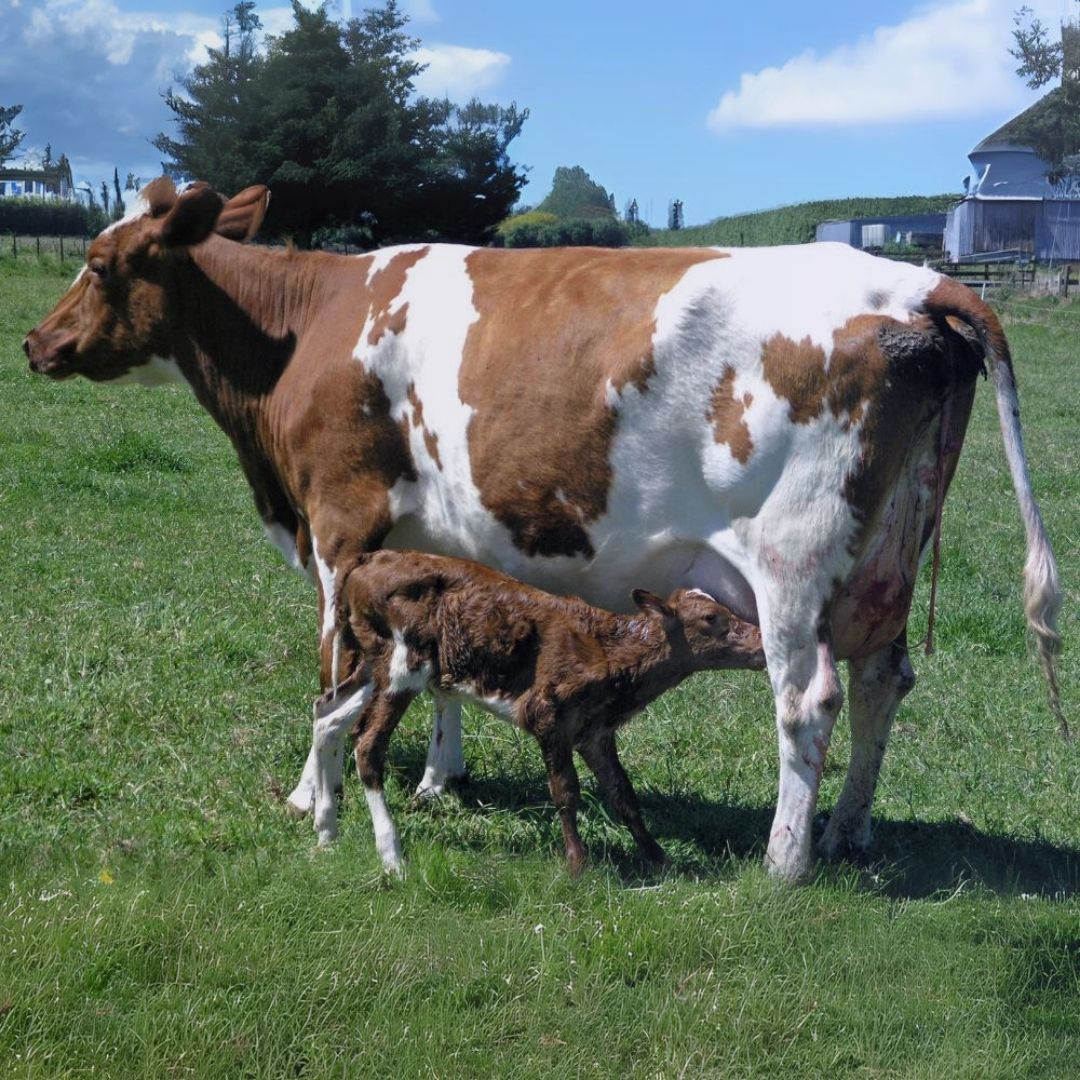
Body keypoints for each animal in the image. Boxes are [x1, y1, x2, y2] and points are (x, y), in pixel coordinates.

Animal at [24, 178, 1061, 881]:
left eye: (99, 263)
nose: (35, 343)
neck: (304, 331)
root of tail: (924, 283)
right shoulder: (430, 542)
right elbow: (439, 655)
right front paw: (441, 777)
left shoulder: (339, 526)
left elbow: (330, 671)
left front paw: (309, 797)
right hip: (889, 557)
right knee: (886, 681)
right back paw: (847, 832)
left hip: (793, 566)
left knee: (808, 700)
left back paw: (785, 859)